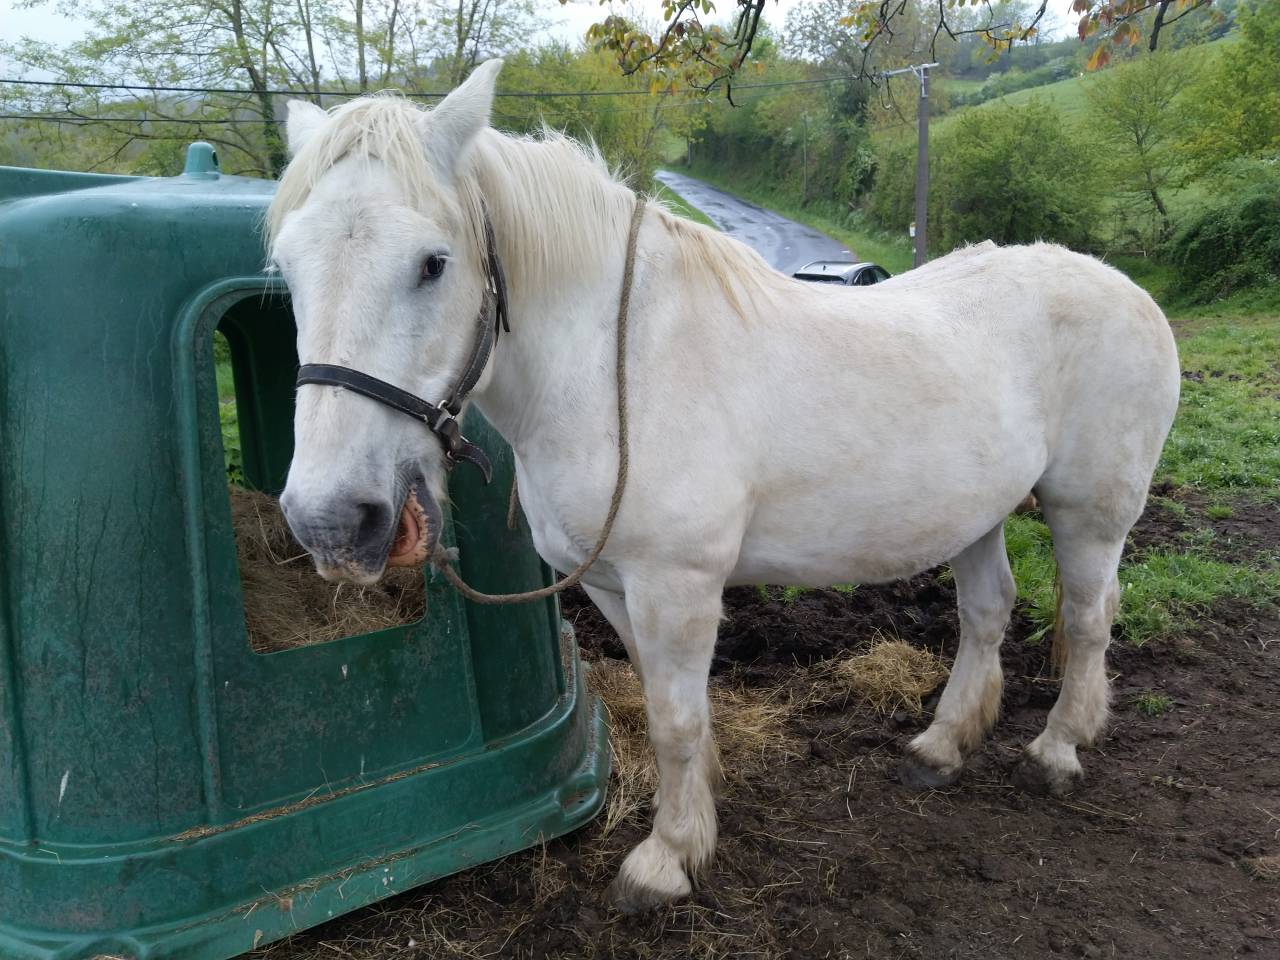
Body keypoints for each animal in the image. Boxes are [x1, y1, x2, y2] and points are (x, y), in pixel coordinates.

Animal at [266, 60, 1180, 911]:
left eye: (432, 263)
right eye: (287, 268)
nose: (331, 520)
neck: (612, 367)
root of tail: (1127, 289)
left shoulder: (676, 585)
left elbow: (675, 720)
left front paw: (666, 859)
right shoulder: (611, 585)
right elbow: (664, 705)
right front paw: (696, 815)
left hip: (1089, 514)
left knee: (1088, 619)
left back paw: (1058, 751)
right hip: (976, 514)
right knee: (987, 614)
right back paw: (942, 746)